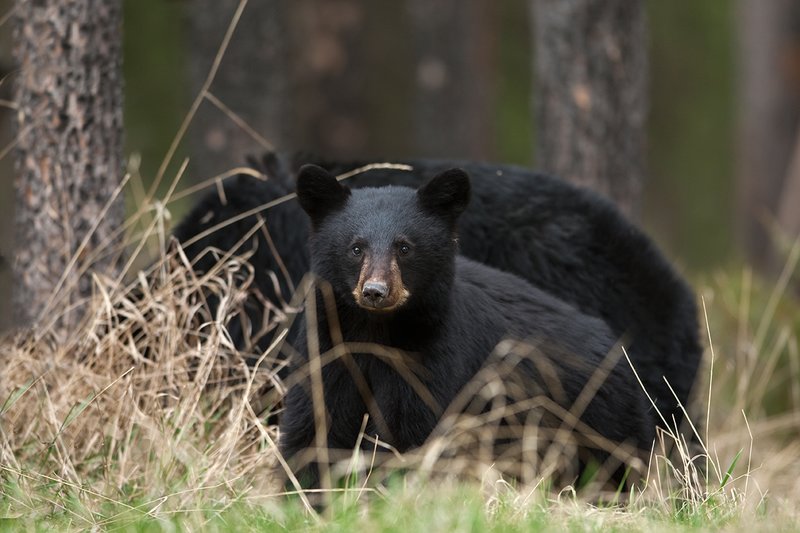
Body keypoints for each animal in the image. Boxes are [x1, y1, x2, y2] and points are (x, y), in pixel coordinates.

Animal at [277, 164, 654, 489]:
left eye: (405, 247)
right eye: (356, 248)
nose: (375, 291)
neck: (376, 329)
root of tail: (613, 343)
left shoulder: (431, 353)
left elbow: (412, 433)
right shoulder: (329, 345)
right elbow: (315, 424)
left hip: (596, 414)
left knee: (613, 464)